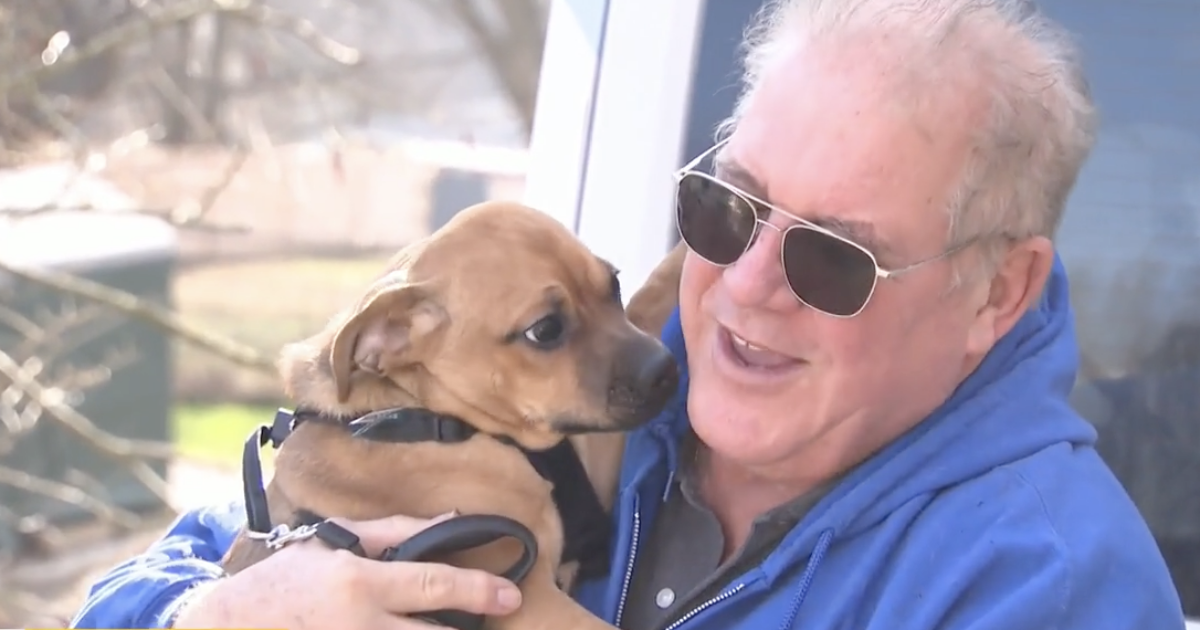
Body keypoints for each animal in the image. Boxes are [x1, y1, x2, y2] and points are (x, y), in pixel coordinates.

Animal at [219, 200, 681, 628]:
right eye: (545, 330)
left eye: (614, 285)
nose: (666, 371)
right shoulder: (525, 595)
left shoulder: (595, 444)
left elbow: (654, 298)